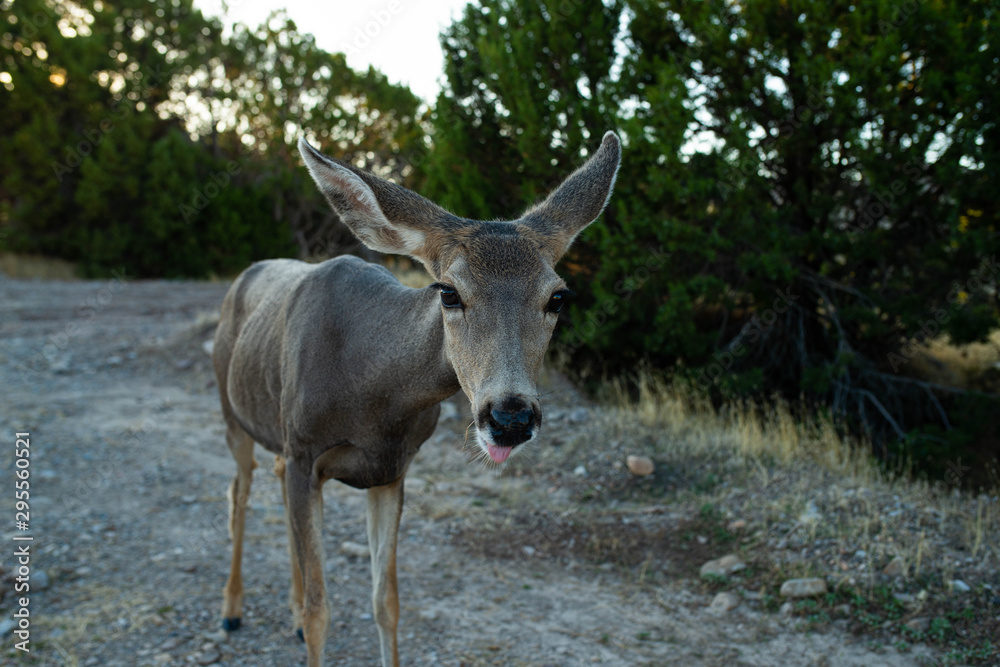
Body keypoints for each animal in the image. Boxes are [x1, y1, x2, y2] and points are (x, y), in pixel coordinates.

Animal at [211, 130, 621, 666]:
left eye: (557, 297)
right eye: (448, 292)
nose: (509, 417)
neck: (374, 395)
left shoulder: (391, 469)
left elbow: (386, 601)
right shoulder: (306, 452)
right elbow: (324, 610)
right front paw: (305, 618)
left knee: (272, 481)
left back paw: (289, 612)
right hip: (232, 412)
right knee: (238, 492)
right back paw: (231, 610)